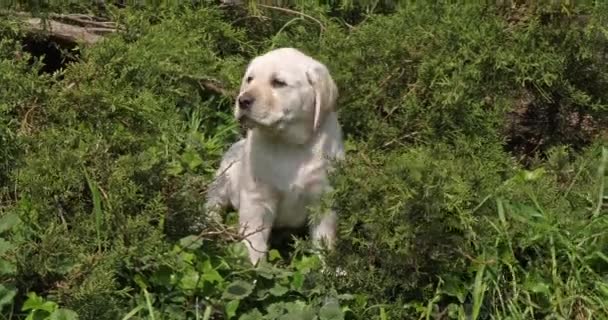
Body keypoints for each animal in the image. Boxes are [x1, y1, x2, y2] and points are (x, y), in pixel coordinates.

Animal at [207, 47, 344, 264]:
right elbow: (254, 242)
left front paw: (327, 268)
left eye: (278, 83)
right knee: (212, 204)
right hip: (223, 178)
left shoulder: (324, 199)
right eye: (250, 79)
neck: (289, 143)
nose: (242, 101)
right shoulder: (257, 200)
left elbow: (324, 243)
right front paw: (254, 267)